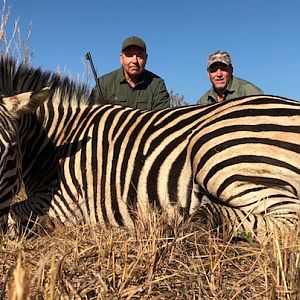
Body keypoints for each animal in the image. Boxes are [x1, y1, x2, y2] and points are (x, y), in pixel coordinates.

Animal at [0, 54, 300, 241]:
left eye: (11, 147)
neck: (57, 140)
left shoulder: (64, 202)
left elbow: (14, 214)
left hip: (215, 154)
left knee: (291, 219)